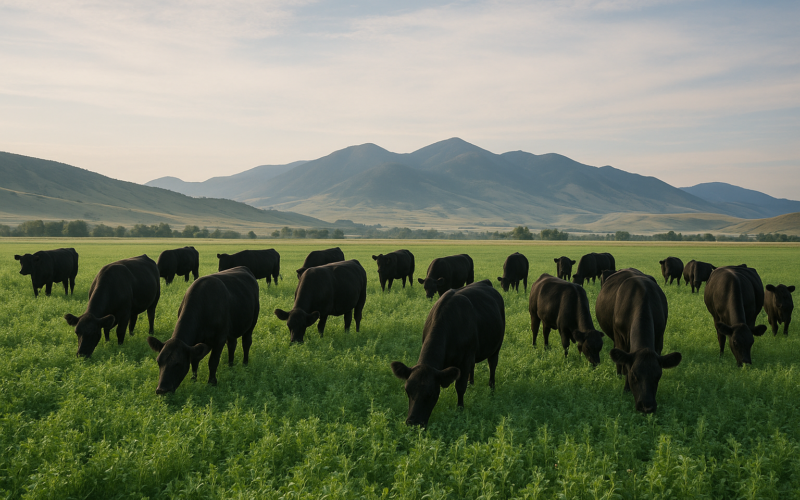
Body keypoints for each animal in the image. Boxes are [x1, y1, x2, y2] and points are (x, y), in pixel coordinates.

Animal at [390, 280, 505, 427]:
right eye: (407, 391)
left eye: (431, 394)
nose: (413, 422)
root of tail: (485, 282)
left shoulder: (465, 359)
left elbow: (460, 387)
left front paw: (460, 410)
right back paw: (472, 383)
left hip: (496, 346)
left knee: (492, 364)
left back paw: (491, 389)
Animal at [596, 268, 682, 413]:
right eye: (634, 376)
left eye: (658, 376)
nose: (647, 407)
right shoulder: (620, 337)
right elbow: (625, 362)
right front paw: (626, 388)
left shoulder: (659, 339)